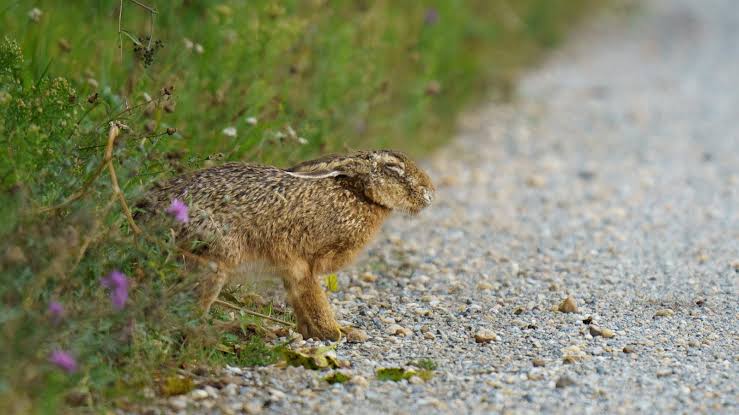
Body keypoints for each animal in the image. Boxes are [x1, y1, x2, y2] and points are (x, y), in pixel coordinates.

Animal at [138, 149, 434, 340]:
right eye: (393, 169)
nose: (430, 193)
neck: (357, 194)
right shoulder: (302, 263)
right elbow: (313, 298)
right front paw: (336, 333)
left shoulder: (291, 268)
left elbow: (300, 302)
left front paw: (317, 333)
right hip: (213, 262)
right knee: (186, 317)